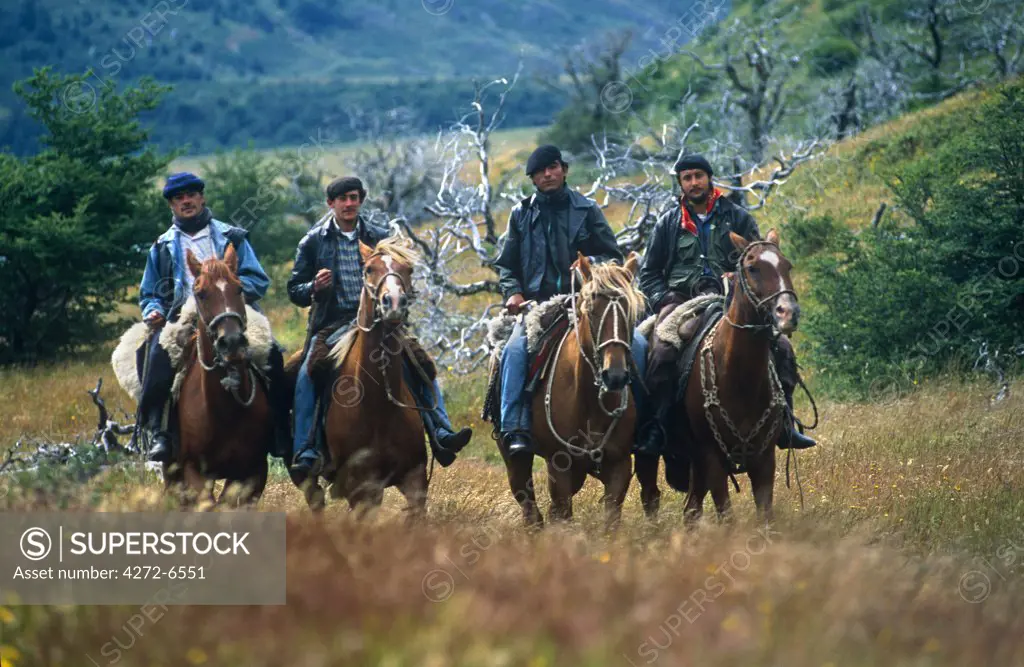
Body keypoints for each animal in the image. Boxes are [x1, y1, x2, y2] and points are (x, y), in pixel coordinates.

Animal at [161, 244, 272, 506]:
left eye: (239, 288)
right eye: (200, 293)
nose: (231, 343)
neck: (225, 412)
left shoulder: (253, 472)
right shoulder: (193, 471)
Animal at [499, 249, 643, 532]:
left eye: (630, 313)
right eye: (592, 310)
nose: (615, 375)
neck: (589, 401)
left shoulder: (619, 464)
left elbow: (611, 518)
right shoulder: (559, 466)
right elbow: (561, 513)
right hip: (514, 458)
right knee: (530, 507)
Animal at [667, 229, 802, 528]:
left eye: (787, 266)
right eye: (753, 268)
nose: (788, 313)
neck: (741, 380)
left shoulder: (764, 458)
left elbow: (765, 515)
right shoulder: (711, 456)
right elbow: (726, 516)